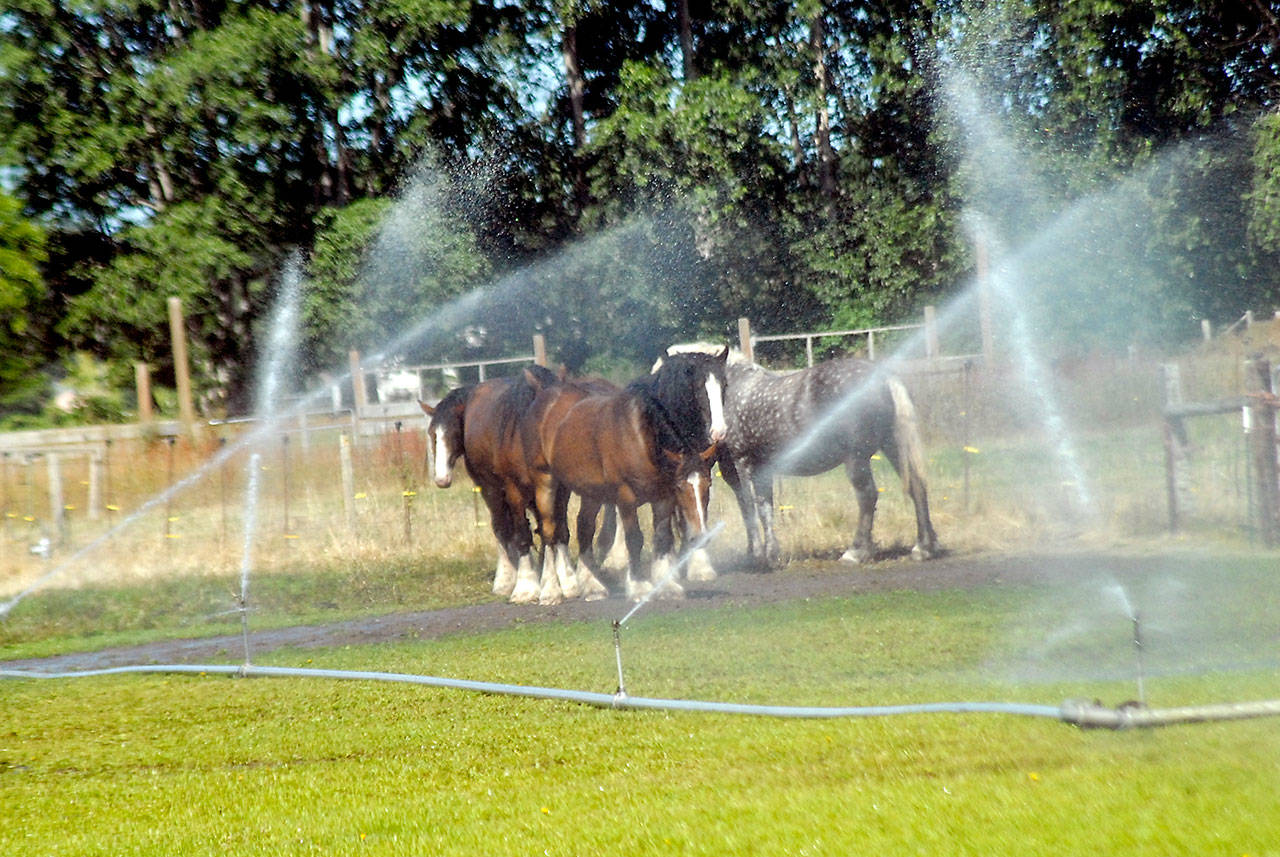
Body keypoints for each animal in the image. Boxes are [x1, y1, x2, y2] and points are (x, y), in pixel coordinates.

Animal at [522, 353, 732, 601]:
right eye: (699, 388)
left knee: (584, 527)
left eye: (707, 485)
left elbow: (662, 537)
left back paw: (592, 585)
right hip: (546, 482)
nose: (719, 432)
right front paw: (639, 586)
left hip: (589, 490)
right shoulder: (626, 497)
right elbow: (635, 538)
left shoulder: (663, 498)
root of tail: (546, 396)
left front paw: (667, 586)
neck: (642, 435)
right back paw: (551, 590)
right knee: (549, 531)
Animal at [665, 345, 936, 567]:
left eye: (721, 387)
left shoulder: (739, 466)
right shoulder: (760, 469)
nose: (718, 432)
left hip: (856, 459)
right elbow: (765, 508)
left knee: (868, 496)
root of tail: (881, 376)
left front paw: (756, 555)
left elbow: (749, 508)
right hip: (893, 446)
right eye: (698, 387)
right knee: (917, 487)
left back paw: (856, 552)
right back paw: (924, 547)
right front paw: (771, 553)